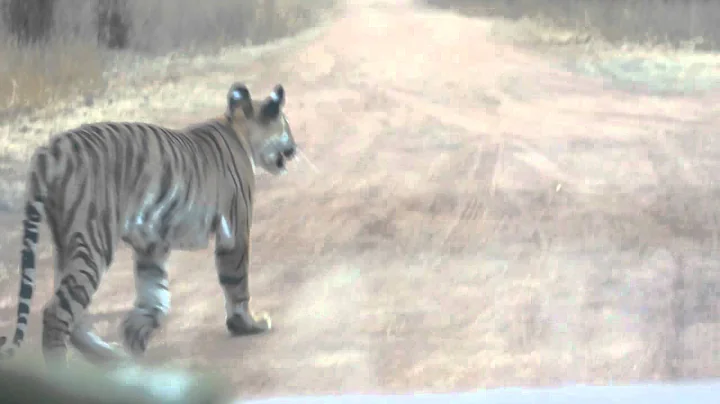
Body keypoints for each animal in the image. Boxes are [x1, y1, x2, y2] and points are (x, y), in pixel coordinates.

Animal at [0, 82, 296, 368]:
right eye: (286, 126)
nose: (294, 148)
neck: (239, 129)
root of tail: (49, 150)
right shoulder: (234, 229)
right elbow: (236, 282)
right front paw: (247, 324)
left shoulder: (152, 245)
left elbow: (155, 296)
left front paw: (134, 337)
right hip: (93, 240)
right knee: (55, 312)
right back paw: (64, 369)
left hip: (66, 242)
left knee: (73, 314)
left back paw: (109, 354)